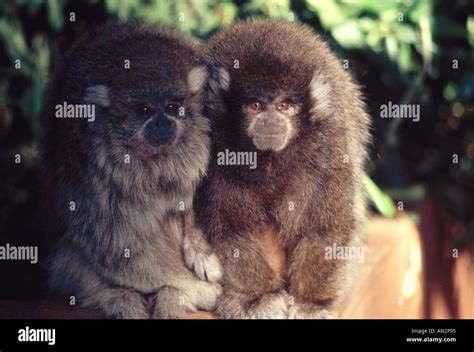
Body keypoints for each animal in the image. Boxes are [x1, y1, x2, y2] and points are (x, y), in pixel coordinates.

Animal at [39, 22, 222, 320]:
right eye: (144, 110)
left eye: (173, 107)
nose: (162, 123)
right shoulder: (95, 178)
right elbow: (119, 249)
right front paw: (196, 289)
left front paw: (201, 251)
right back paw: (122, 298)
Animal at [194, 18, 372, 320]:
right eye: (255, 105)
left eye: (286, 106)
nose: (271, 122)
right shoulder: (213, 142)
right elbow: (229, 227)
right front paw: (259, 297)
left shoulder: (328, 142)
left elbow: (327, 226)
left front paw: (308, 303)